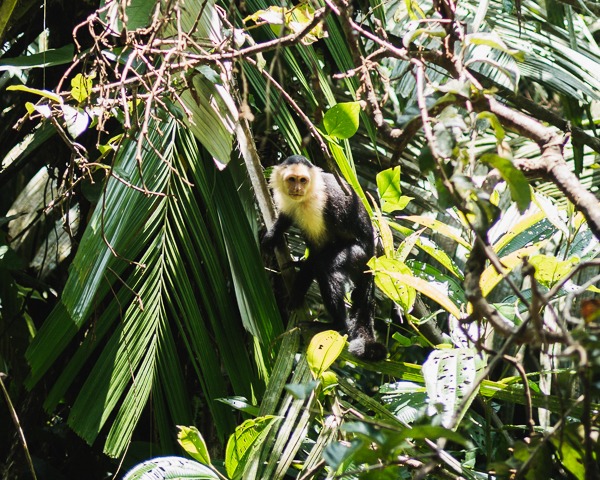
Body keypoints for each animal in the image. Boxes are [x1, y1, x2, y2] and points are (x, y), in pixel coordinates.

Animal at [264, 156, 390, 362]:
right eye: (292, 179)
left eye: (303, 180)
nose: (297, 189)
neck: (307, 195)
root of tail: (373, 257)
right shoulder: (289, 200)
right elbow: (287, 216)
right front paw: (272, 235)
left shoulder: (317, 205)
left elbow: (319, 251)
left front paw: (297, 291)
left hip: (358, 255)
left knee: (327, 267)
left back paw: (337, 325)